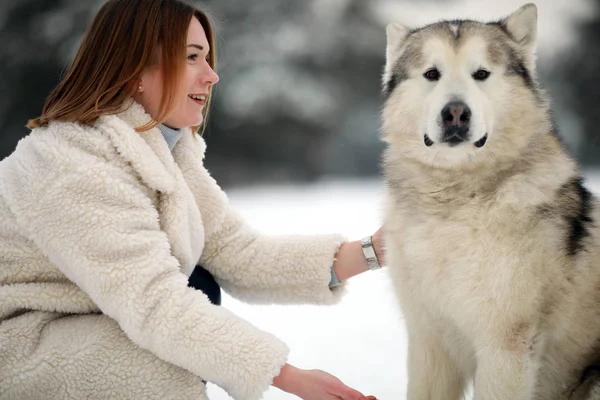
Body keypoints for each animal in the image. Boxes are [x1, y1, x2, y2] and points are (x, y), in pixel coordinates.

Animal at [380, 3, 600, 400]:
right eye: (431, 74)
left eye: (481, 73)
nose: (455, 113)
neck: (452, 207)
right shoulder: (428, 341)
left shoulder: (505, 344)